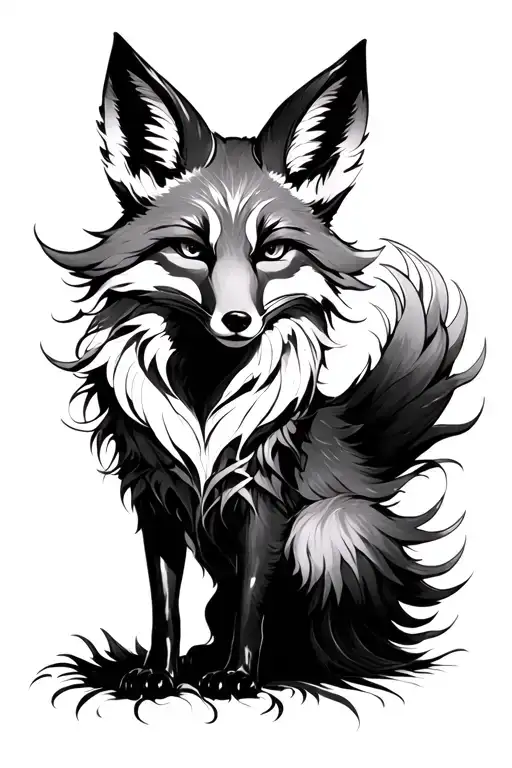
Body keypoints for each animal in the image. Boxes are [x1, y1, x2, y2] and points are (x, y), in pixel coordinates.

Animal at [36, 33, 483, 712]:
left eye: (272, 251)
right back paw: (204, 658)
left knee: (338, 641)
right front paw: (159, 674)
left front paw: (239, 677)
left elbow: (253, 596)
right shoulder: (154, 495)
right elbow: (165, 606)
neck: (204, 393)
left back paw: (296, 665)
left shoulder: (265, 500)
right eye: (190, 249)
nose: (238, 321)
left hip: (325, 529)